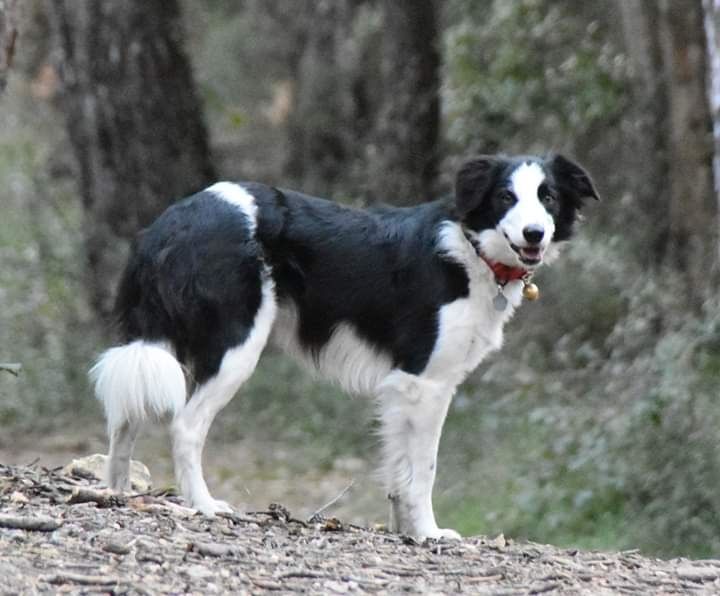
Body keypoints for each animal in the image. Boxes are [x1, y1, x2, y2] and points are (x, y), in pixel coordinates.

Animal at [88, 152, 596, 540]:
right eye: (506, 197)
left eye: (548, 198)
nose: (534, 234)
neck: (473, 250)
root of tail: (171, 222)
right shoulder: (425, 383)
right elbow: (423, 471)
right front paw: (429, 534)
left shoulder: (404, 389)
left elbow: (399, 471)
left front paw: (404, 532)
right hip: (236, 346)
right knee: (186, 426)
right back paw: (205, 505)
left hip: (156, 345)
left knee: (125, 419)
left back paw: (118, 494)